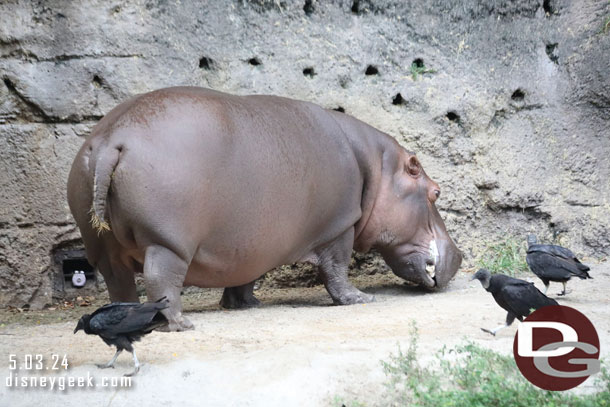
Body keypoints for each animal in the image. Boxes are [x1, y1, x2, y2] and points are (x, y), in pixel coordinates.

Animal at [67, 87, 460, 332]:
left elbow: (245, 275)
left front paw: (246, 305)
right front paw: (361, 299)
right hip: (167, 243)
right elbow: (337, 269)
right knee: (160, 278)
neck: (378, 169)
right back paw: (179, 325)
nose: (459, 254)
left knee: (119, 283)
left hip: (103, 248)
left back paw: (129, 318)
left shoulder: (250, 242)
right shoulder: (339, 227)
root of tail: (111, 139)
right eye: (436, 192)